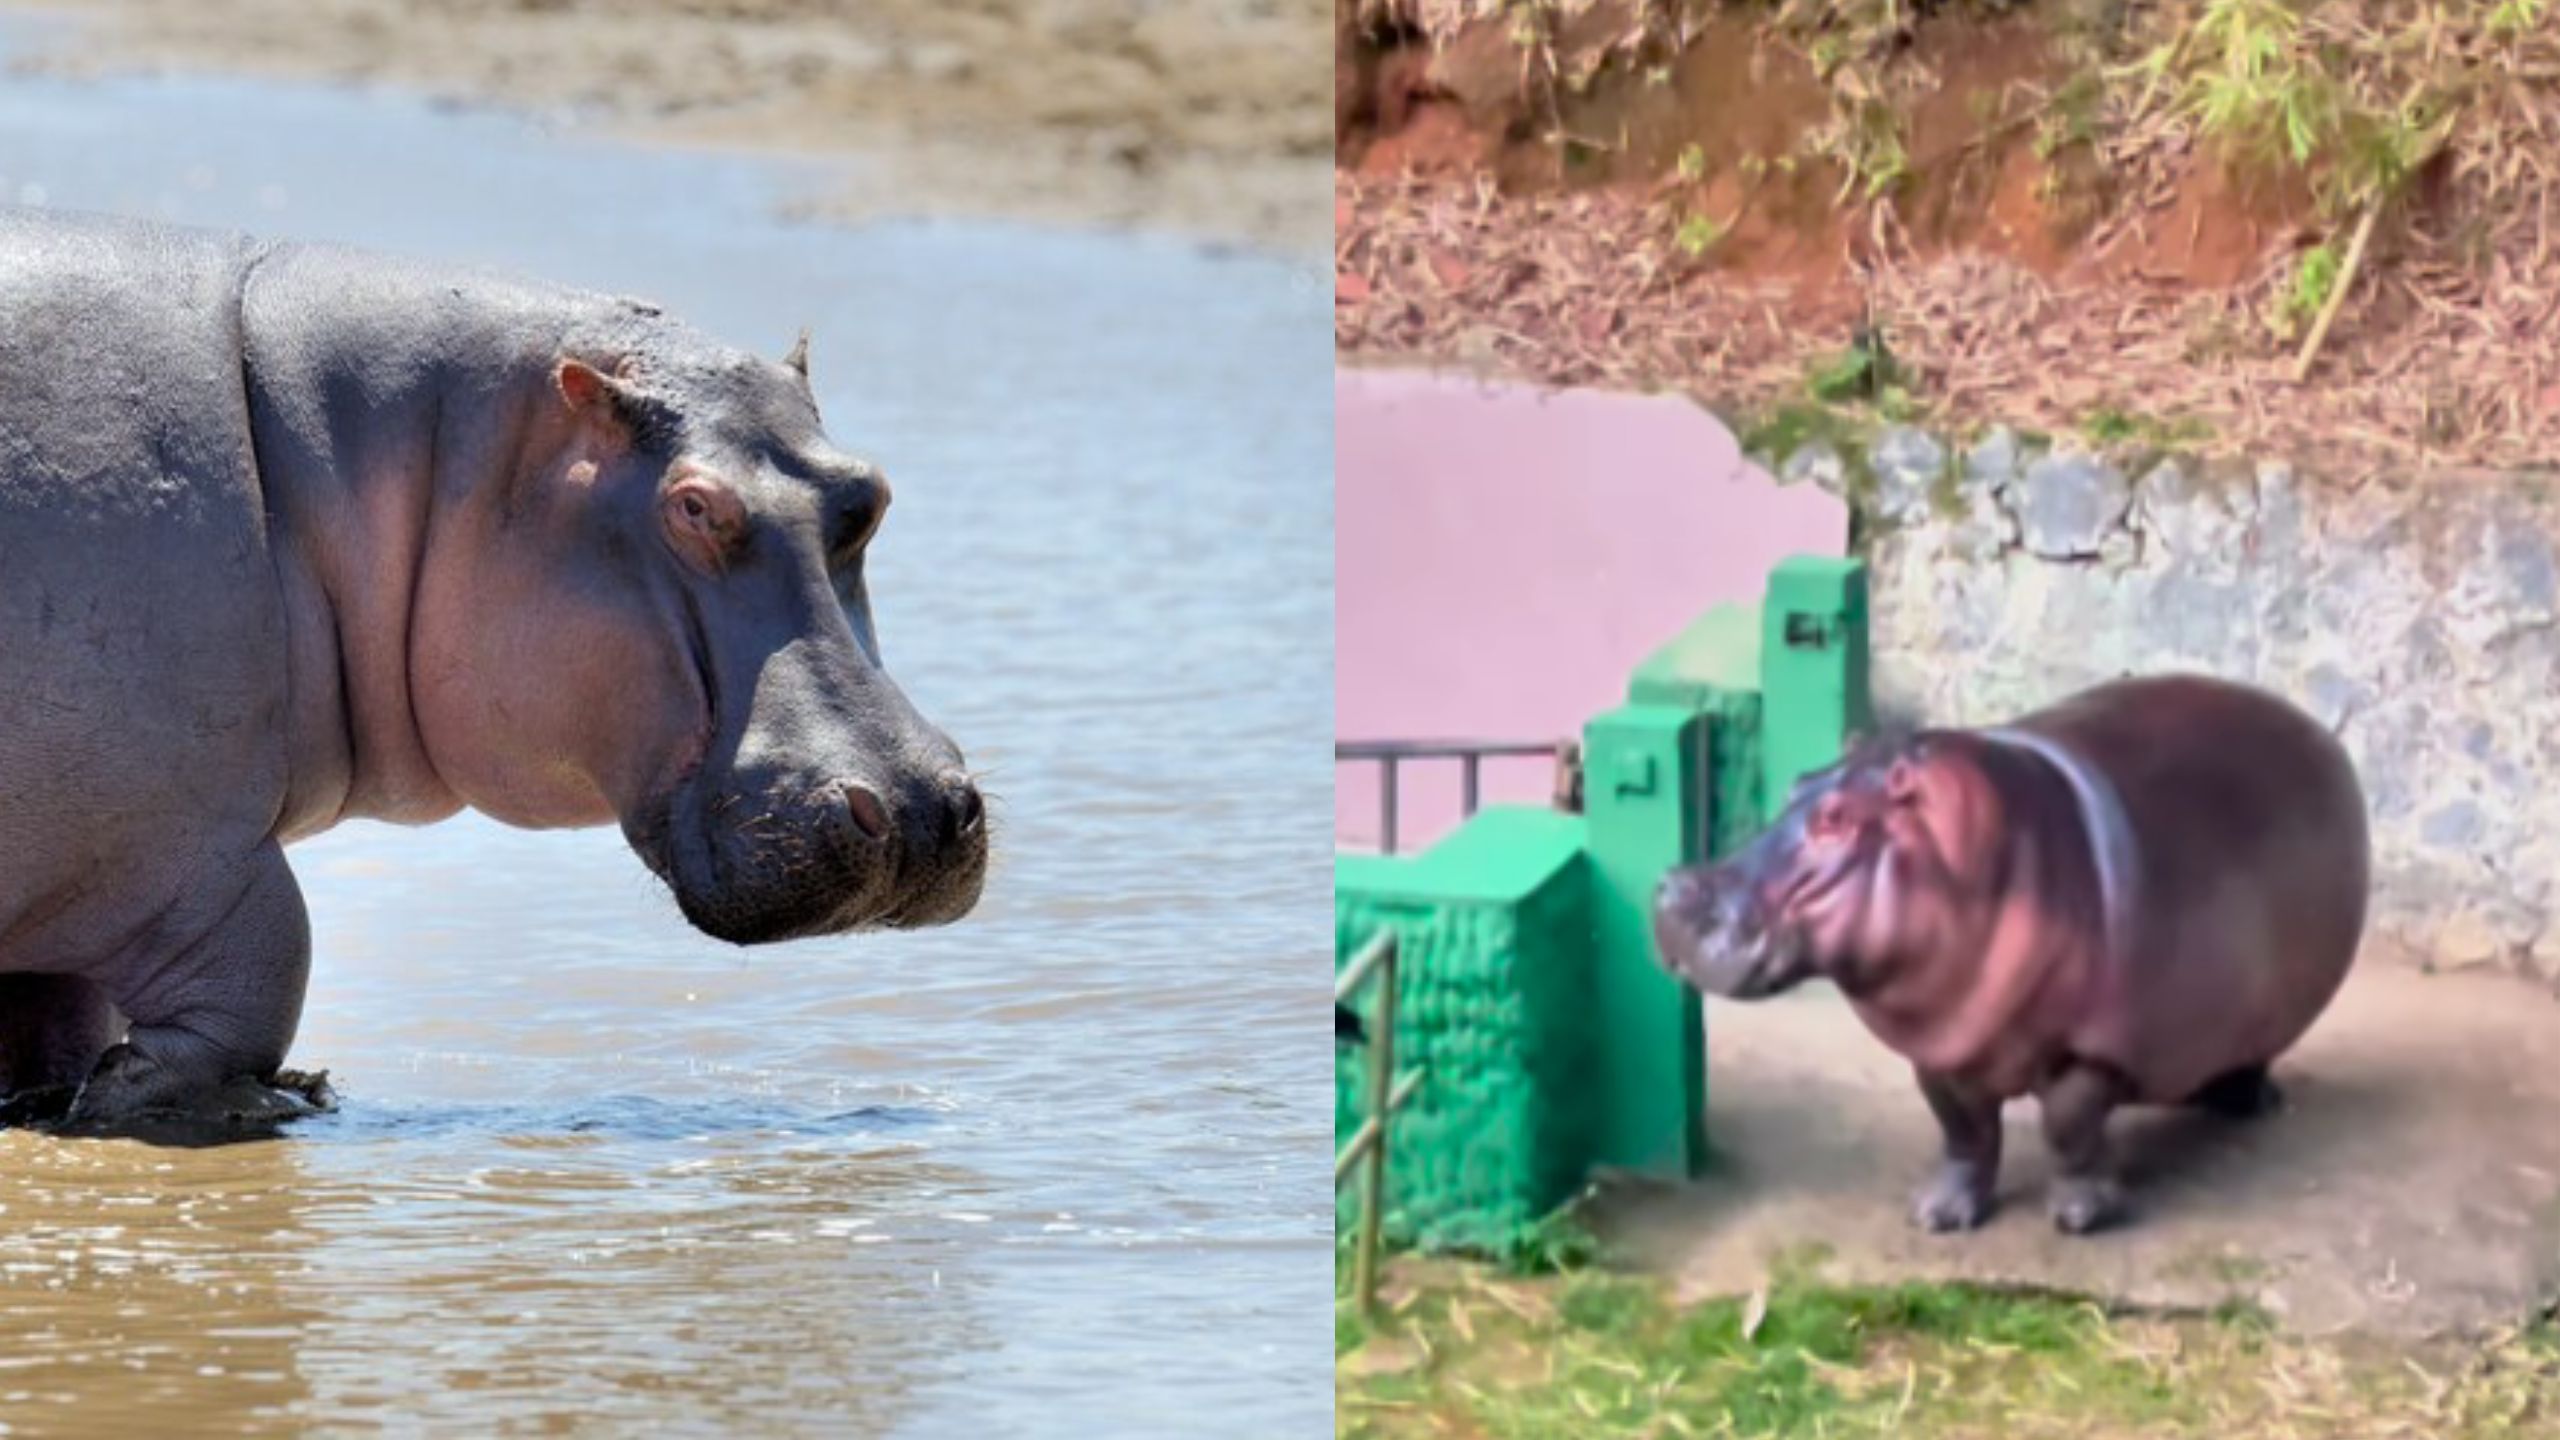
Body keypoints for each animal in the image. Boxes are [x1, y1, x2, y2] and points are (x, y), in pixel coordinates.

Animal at [0, 204, 988, 1132]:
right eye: (695, 506)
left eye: (869, 492)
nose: (918, 809)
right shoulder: (175, 844)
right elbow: (262, 970)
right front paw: (169, 1100)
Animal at [1658, 676, 2355, 1229]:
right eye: (1796, 786)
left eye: (1835, 819)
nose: (1672, 890)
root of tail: (2318, 732)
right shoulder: (1941, 1046)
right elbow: (1964, 1133)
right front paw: (1937, 1214)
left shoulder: (2087, 1054)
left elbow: (2067, 1132)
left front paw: (2079, 1217)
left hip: (2272, 1011)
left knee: (2254, 1057)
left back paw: (2251, 1104)